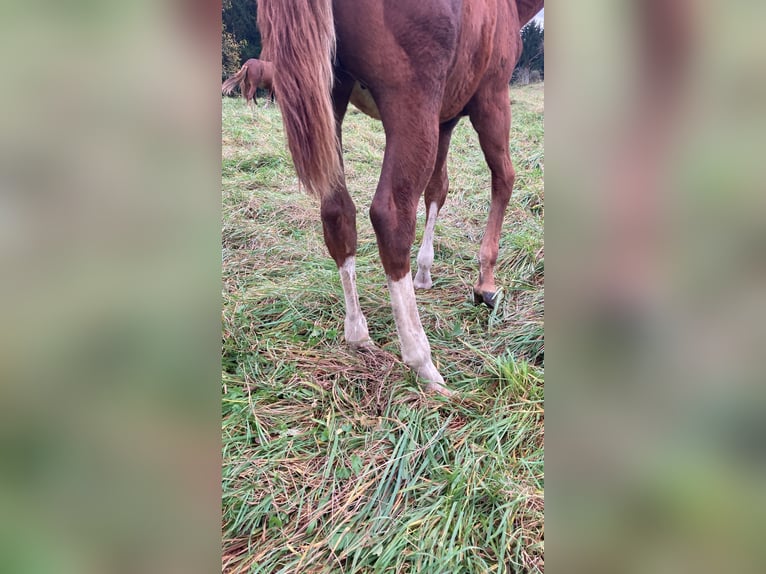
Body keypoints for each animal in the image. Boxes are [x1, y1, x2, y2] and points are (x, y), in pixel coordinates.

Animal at [258, 0, 544, 396]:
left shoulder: (445, 119)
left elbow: (438, 188)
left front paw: (424, 271)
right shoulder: (492, 97)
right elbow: (504, 179)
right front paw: (485, 283)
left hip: (329, 94)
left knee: (337, 212)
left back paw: (357, 333)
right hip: (411, 100)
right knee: (391, 216)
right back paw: (422, 360)